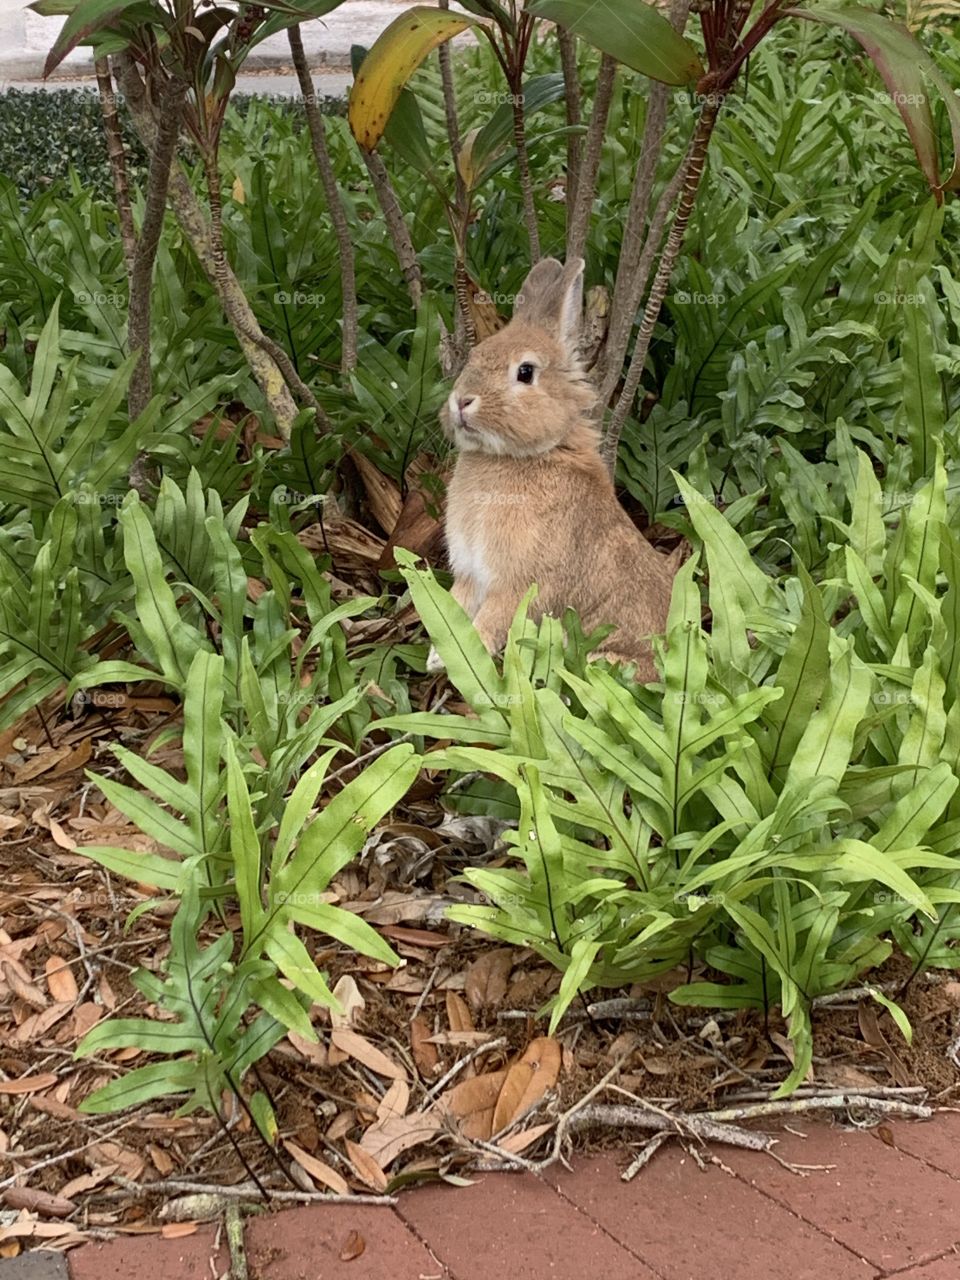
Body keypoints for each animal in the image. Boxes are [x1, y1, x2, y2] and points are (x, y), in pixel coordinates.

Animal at [429, 256, 678, 684]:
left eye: (525, 372)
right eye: (475, 357)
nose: (461, 401)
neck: (525, 456)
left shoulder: (515, 586)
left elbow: (488, 623)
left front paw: (466, 658)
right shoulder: (471, 576)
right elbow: (454, 608)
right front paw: (436, 656)